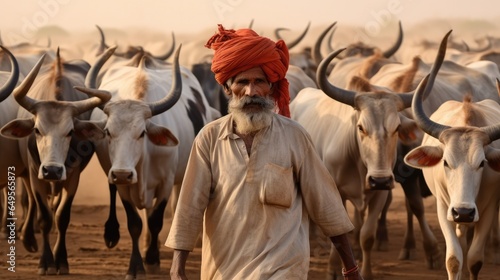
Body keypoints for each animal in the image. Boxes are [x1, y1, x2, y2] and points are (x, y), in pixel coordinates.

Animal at [0, 49, 110, 274]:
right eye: (36, 129)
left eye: (70, 131)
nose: (52, 170)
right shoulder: (35, 174)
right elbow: (44, 217)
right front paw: (45, 262)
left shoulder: (73, 177)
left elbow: (61, 216)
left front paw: (61, 261)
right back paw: (27, 238)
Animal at [75, 44, 219, 278]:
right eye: (108, 132)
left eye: (142, 133)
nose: (122, 173)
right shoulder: (124, 187)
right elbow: (135, 223)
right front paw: (136, 266)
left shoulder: (165, 184)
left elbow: (155, 220)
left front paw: (152, 259)